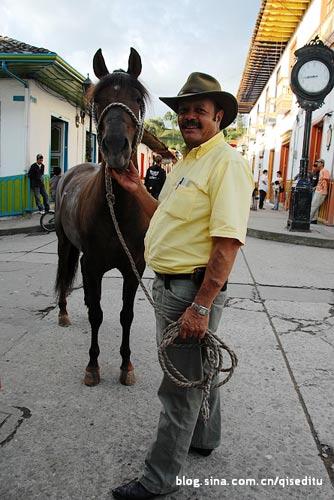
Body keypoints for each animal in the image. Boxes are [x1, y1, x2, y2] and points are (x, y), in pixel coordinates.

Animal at [55, 48, 149, 386]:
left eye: (137, 98)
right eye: (97, 99)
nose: (115, 147)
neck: (116, 212)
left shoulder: (134, 268)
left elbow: (126, 316)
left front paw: (126, 365)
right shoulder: (92, 265)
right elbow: (97, 314)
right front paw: (93, 366)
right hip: (65, 244)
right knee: (64, 273)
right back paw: (63, 312)